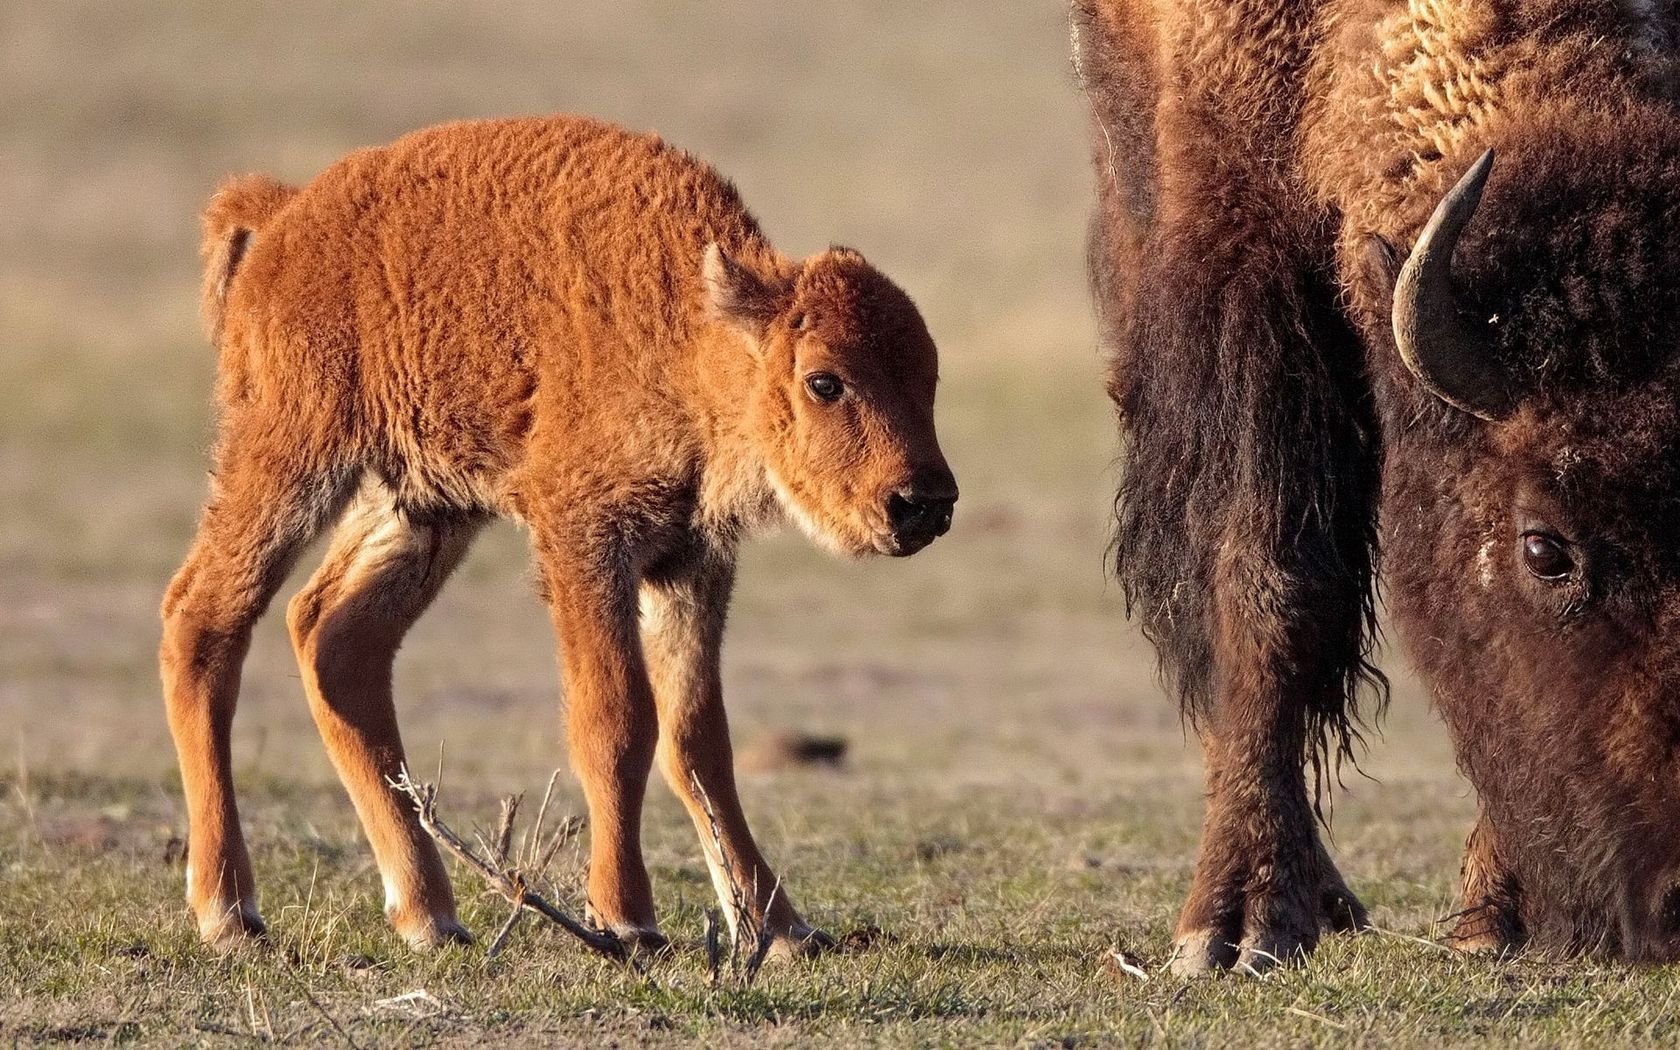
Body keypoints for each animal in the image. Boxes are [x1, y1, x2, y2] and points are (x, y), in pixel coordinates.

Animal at [165, 114, 967, 947]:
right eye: (824, 381)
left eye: (929, 376)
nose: (924, 502)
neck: (688, 334)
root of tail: (285, 215)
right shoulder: (586, 541)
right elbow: (615, 722)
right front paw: (627, 919)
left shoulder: (690, 560)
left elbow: (697, 740)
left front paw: (780, 929)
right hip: (290, 459)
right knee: (203, 620)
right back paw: (229, 910)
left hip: (422, 506)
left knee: (337, 640)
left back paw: (429, 915)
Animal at [1068, 0, 1680, 967]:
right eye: (1545, 549)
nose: (1676, 902)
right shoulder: (1244, 263)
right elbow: (1268, 583)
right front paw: (1235, 925)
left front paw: (1492, 917)